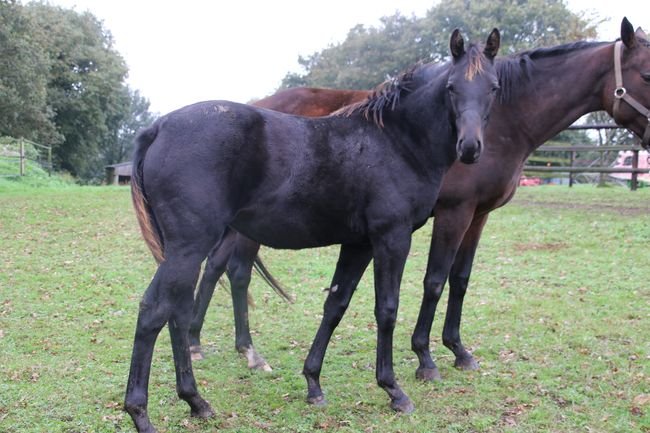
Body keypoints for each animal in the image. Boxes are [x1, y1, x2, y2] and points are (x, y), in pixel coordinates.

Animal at [125, 29, 501, 433]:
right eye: (451, 87)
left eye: (494, 87)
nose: (470, 147)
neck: (396, 142)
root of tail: (158, 127)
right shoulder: (392, 237)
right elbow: (387, 308)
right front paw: (394, 390)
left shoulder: (358, 243)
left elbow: (335, 304)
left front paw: (313, 384)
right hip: (189, 246)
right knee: (154, 311)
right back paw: (141, 413)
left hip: (187, 249)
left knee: (177, 312)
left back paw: (196, 401)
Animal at [188, 18, 650, 382]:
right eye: (646, 75)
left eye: (495, 88)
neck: (501, 122)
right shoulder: (453, 213)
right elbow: (434, 280)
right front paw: (426, 357)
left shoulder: (479, 215)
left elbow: (460, 279)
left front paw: (458, 350)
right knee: (235, 271)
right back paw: (241, 351)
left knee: (217, 267)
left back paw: (203, 343)